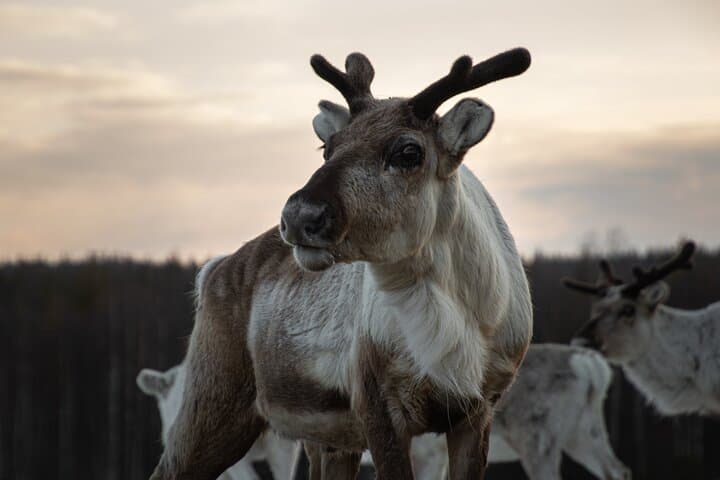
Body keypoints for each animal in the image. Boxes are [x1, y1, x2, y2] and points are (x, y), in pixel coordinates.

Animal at [149, 47, 534, 480]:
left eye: (409, 151)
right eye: (327, 148)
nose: (300, 215)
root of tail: (211, 270)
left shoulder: (479, 409)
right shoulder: (377, 403)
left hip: (326, 439)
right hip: (213, 400)